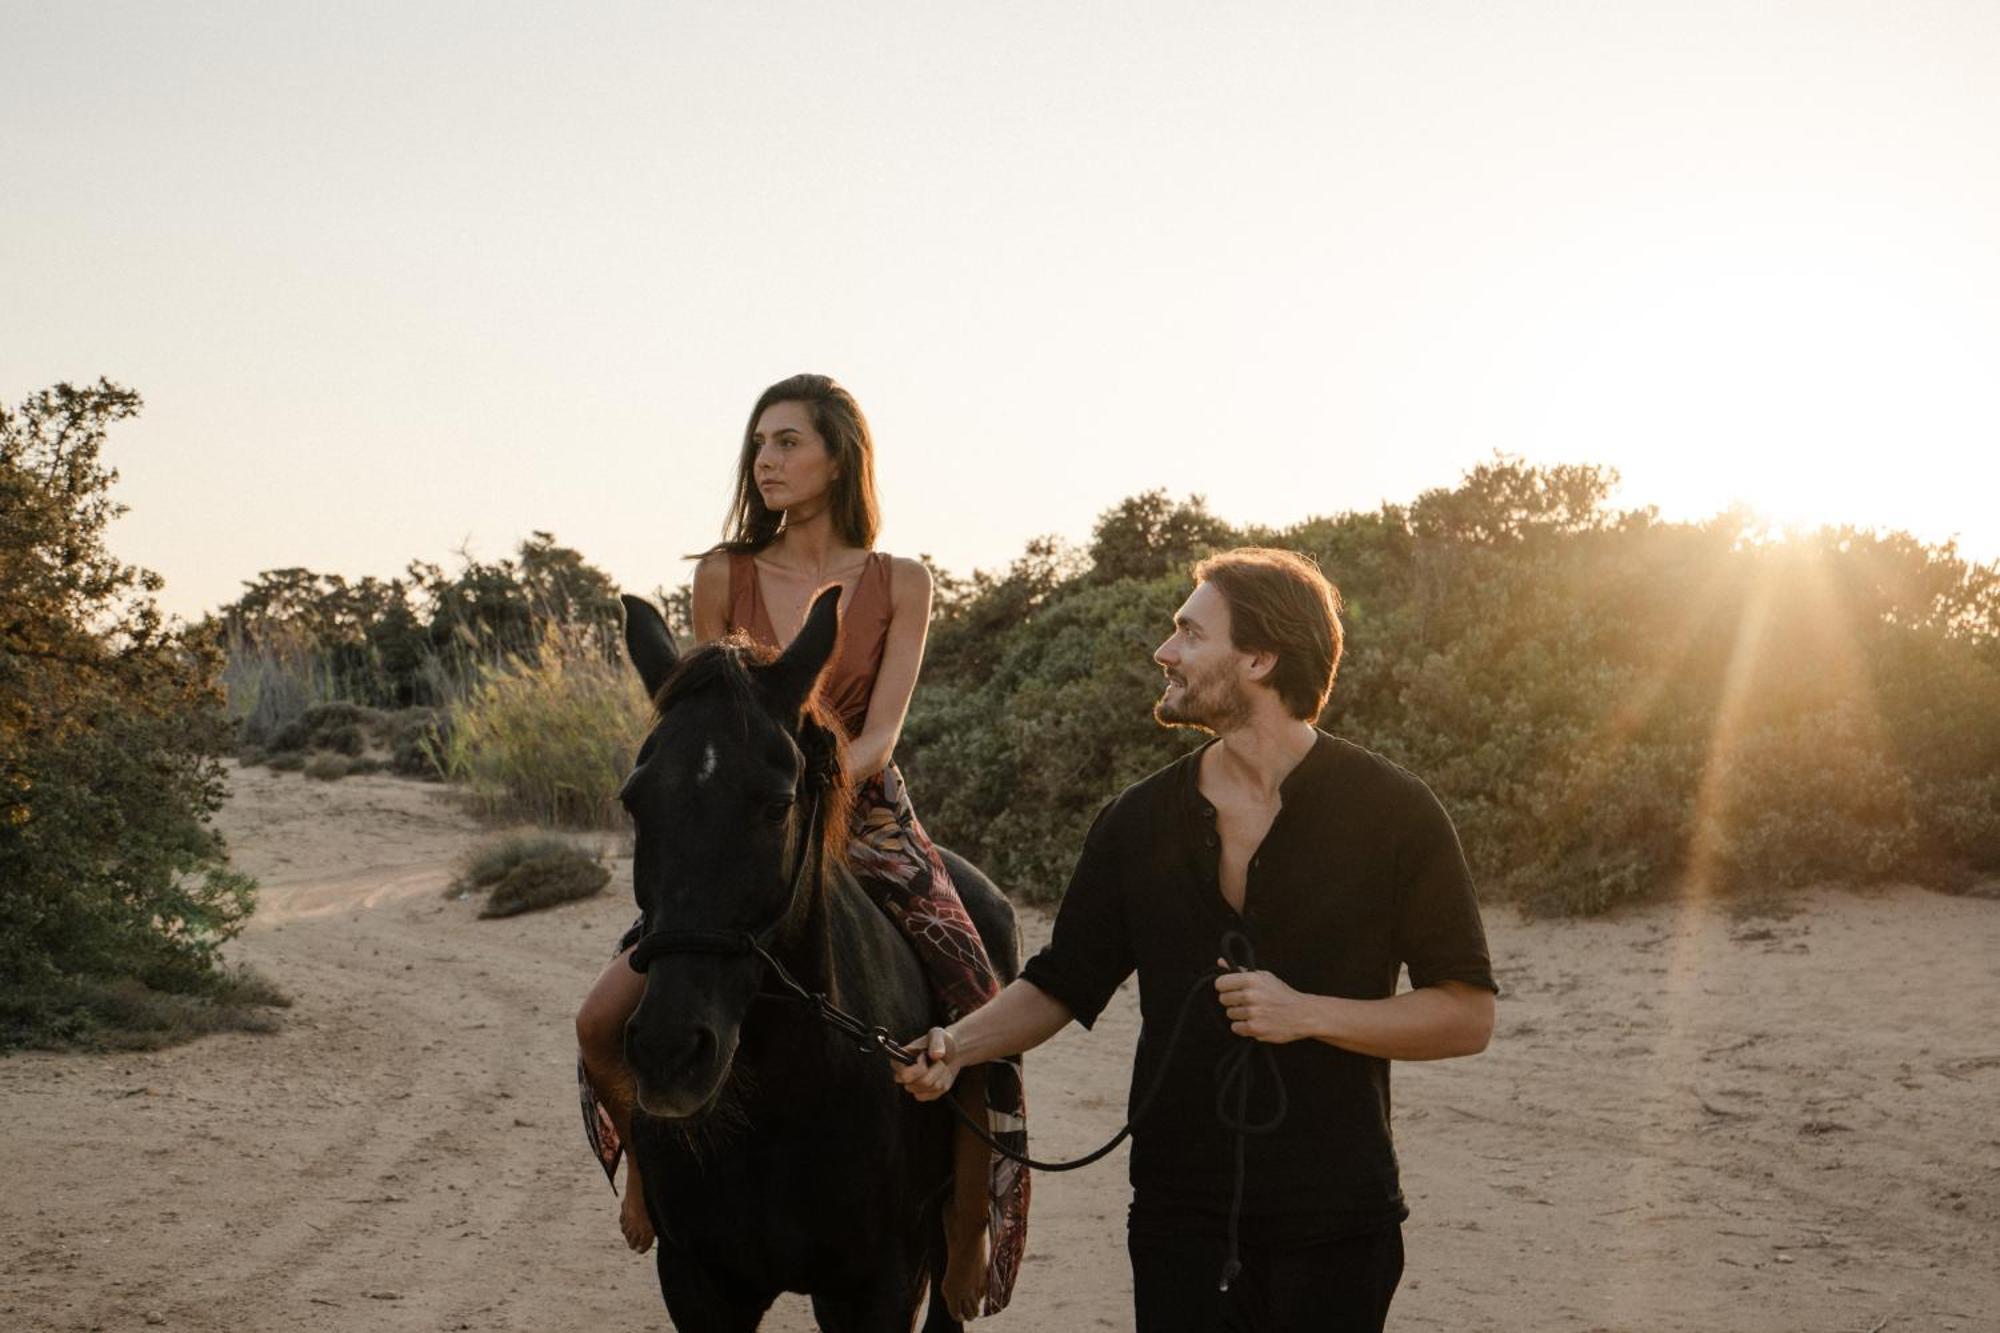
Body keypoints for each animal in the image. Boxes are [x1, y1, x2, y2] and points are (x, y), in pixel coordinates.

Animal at [616, 588, 1024, 1320]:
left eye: (778, 804)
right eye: (635, 800)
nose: (669, 1052)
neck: (780, 1100)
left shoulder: (881, 1284)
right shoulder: (695, 1278)